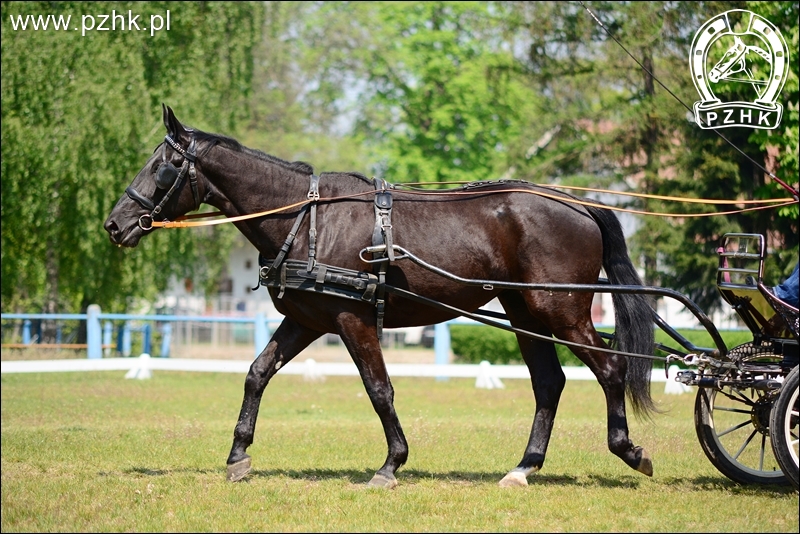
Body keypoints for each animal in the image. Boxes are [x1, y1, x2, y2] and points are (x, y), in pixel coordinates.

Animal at [104, 105, 656, 490]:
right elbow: (257, 373)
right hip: (525, 313)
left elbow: (379, 390)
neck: (307, 219)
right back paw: (523, 468)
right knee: (549, 383)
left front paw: (391, 464)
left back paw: (628, 449)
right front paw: (239, 457)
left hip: (559, 310)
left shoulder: (353, 319)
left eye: (160, 166)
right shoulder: (307, 321)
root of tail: (579, 205)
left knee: (610, 368)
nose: (114, 224)